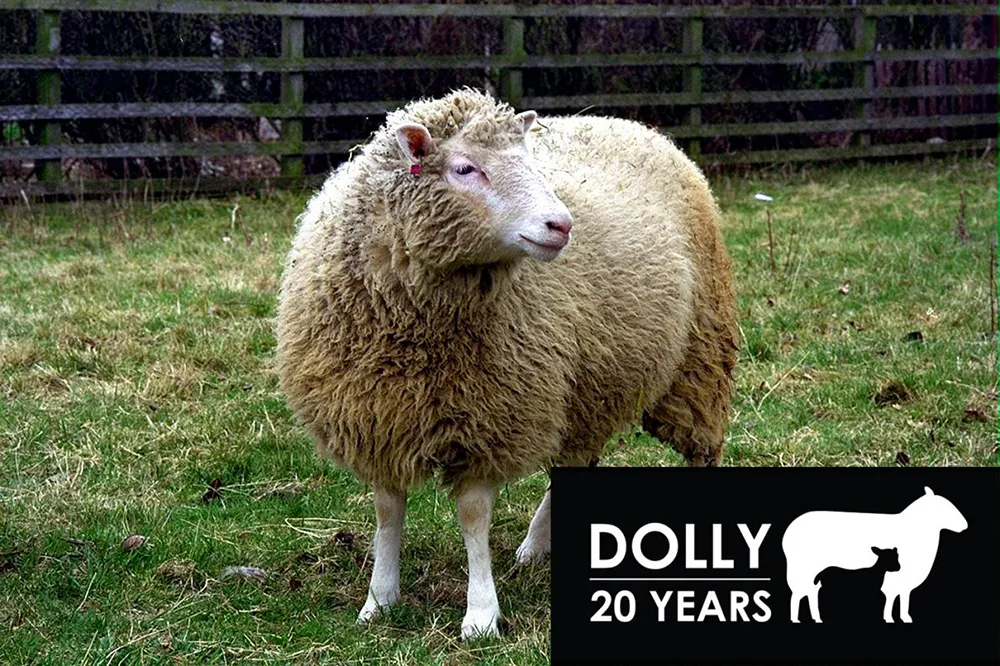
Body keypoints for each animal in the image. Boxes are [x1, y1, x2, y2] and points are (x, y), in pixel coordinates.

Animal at [274, 88, 738, 639]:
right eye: (465, 168)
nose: (561, 225)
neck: (415, 333)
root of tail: (628, 123)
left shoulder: (490, 417)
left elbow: (474, 516)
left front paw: (480, 614)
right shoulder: (379, 416)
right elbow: (388, 511)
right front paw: (379, 600)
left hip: (700, 354)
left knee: (702, 448)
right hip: (588, 385)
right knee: (575, 463)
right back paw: (536, 547)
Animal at [782, 486, 967, 625]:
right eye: (945, 508)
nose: (965, 526)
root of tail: (787, 535)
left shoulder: (903, 583)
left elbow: (902, 599)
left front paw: (902, 618)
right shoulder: (896, 580)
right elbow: (893, 598)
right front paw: (891, 618)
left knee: (810, 592)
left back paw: (815, 618)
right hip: (804, 570)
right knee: (799, 593)